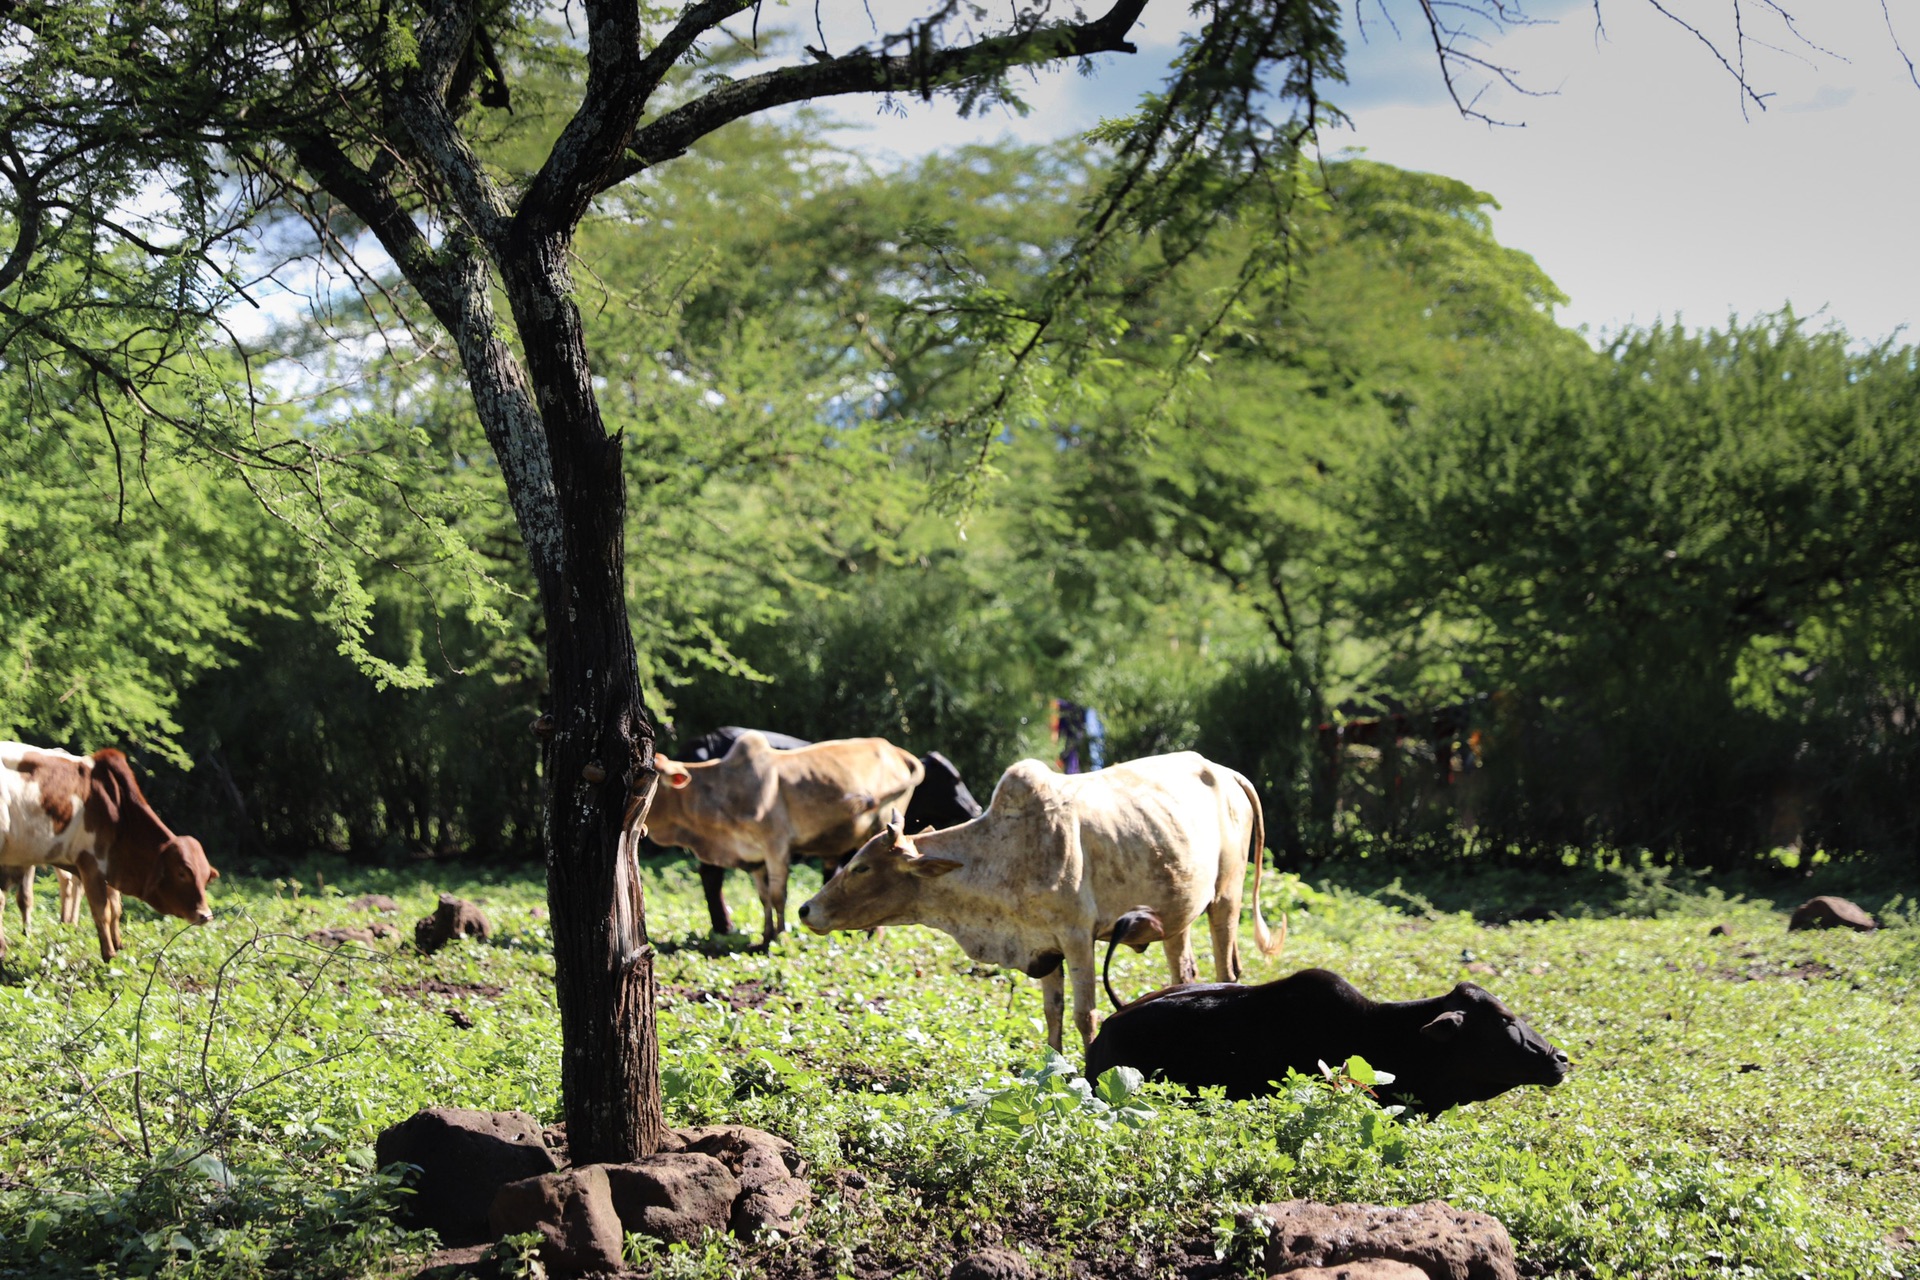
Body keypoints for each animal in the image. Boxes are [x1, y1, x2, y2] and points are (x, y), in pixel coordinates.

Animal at [1, 740, 218, 959]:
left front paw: (118, 944)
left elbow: (115, 909)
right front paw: (109, 954)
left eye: (206, 877)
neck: (118, 810)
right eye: (182, 873)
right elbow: (102, 912)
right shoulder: (90, 864)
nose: (205, 914)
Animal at [645, 725, 921, 948]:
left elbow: (779, 895)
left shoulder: (776, 847)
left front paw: (781, 937)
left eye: (651, 775)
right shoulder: (754, 858)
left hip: (881, 828)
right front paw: (766, 937)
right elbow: (764, 897)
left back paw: (874, 935)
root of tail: (893, 749)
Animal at [794, 752, 1290, 1051]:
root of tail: (1223, 771)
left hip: (1225, 900)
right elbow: (1053, 1012)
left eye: (861, 867)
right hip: (1177, 915)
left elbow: (1085, 1014)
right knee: (1184, 971)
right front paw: (1053, 1070)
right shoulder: (1043, 946)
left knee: (1227, 971)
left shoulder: (1077, 938)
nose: (805, 909)